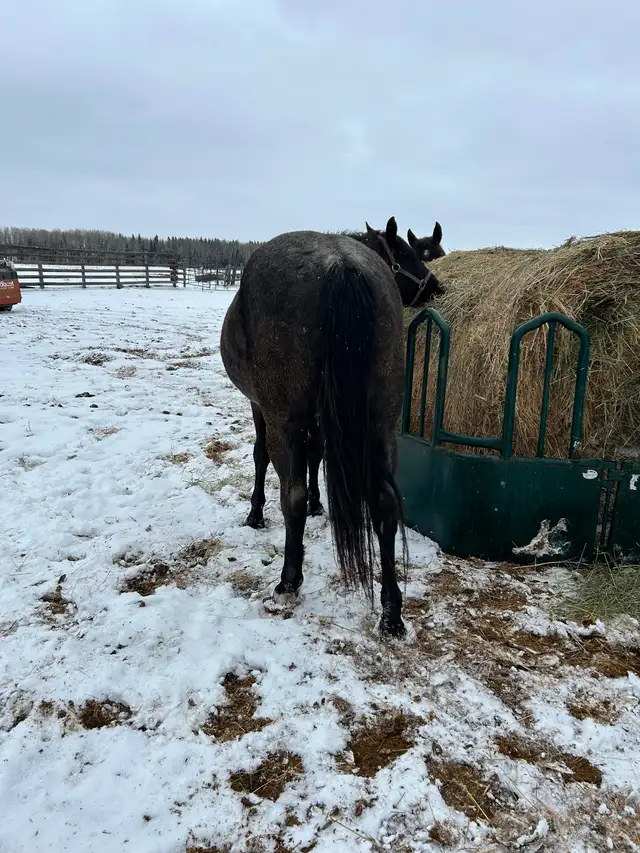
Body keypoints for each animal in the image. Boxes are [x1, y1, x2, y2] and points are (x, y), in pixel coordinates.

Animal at [220, 216, 435, 637]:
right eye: (404, 252)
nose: (435, 286)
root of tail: (339, 265)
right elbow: (316, 455)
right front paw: (319, 504)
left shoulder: (262, 407)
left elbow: (261, 457)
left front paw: (256, 513)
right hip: (380, 424)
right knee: (385, 503)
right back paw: (391, 611)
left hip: (285, 420)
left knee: (291, 494)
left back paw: (288, 581)